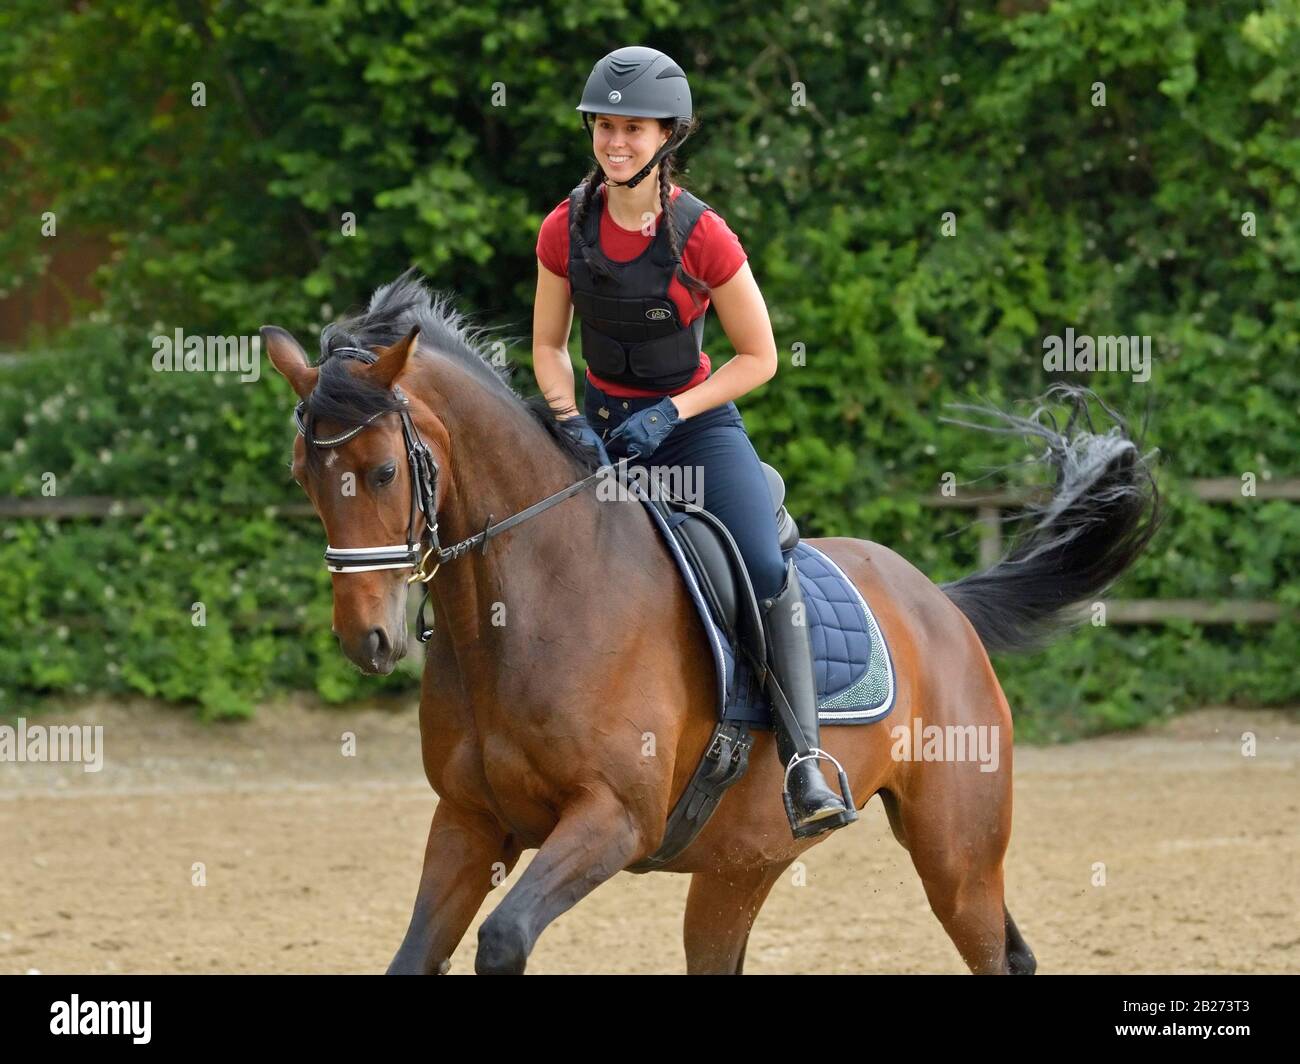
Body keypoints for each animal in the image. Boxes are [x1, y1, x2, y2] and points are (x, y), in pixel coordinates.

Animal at [262, 271, 1158, 975]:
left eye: (383, 470)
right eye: (305, 475)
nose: (367, 640)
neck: (521, 609)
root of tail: (939, 604)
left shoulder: (612, 820)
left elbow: (504, 939)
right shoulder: (469, 822)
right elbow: (415, 956)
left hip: (957, 856)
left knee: (997, 949)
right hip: (742, 866)